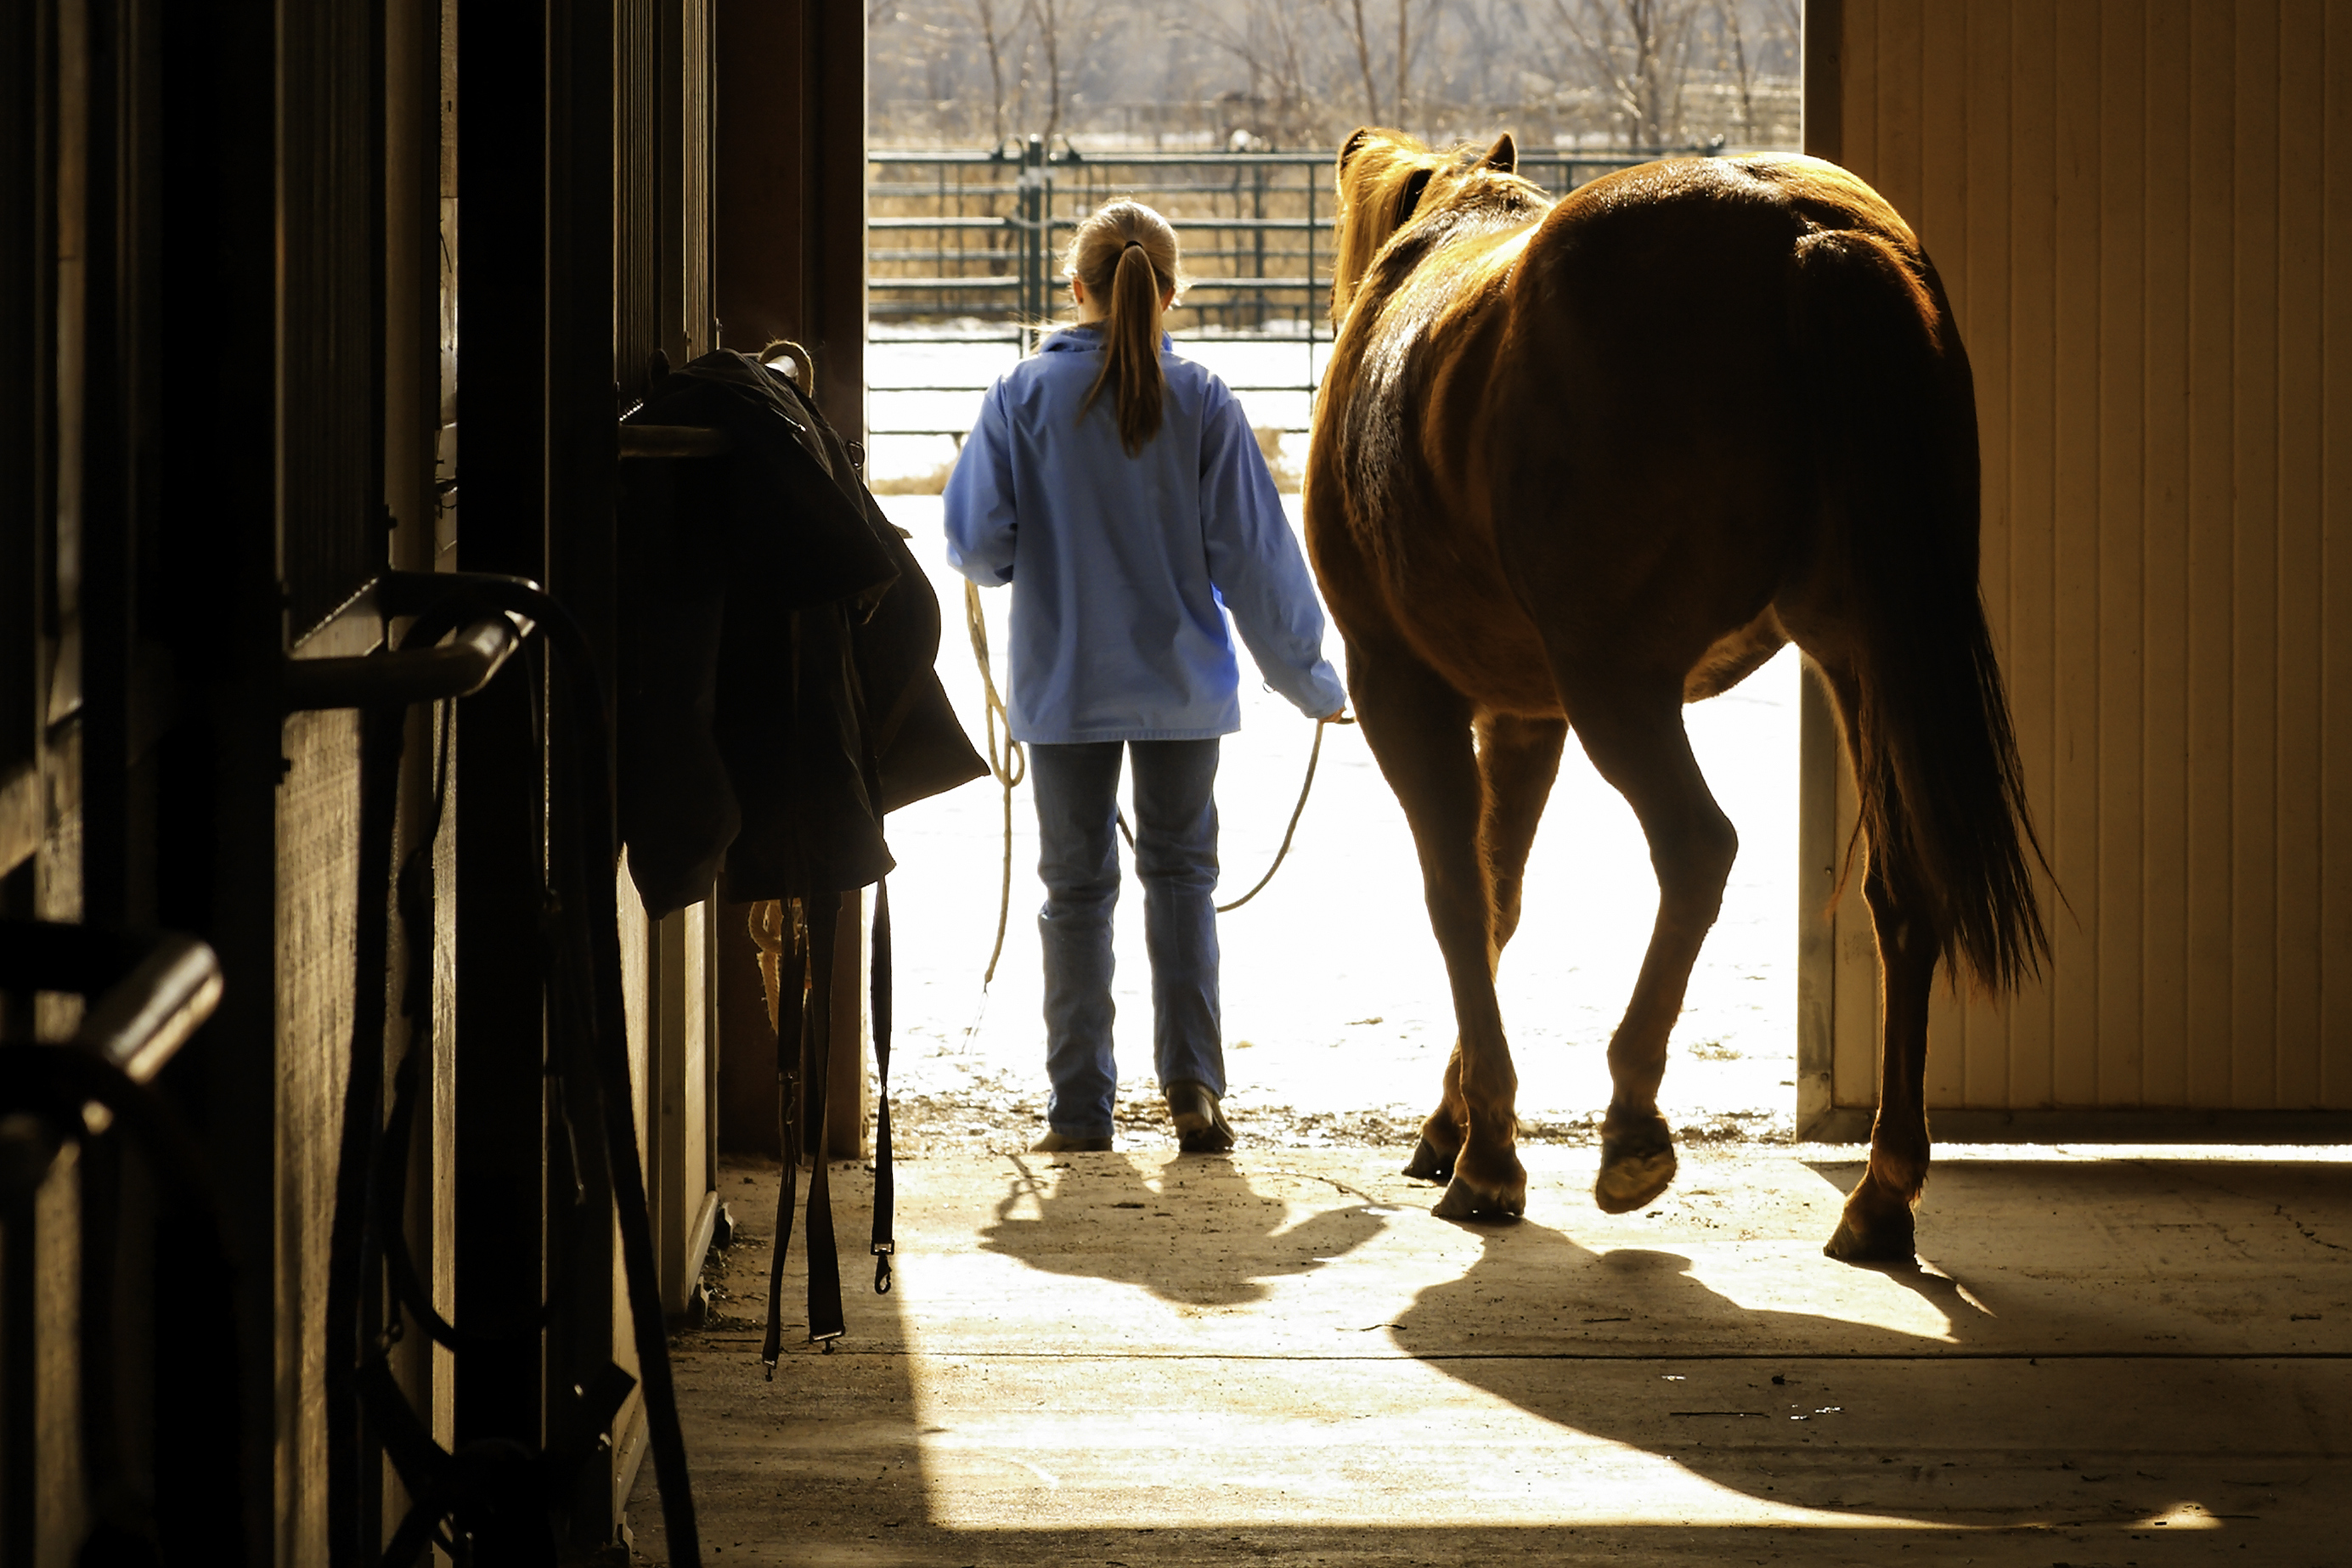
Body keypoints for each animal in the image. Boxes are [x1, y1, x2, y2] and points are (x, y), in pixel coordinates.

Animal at [1317, 128, 2050, 1269]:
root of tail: (1800, 233)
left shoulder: (1405, 692)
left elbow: (1458, 902)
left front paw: (1487, 1157)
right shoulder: (1526, 717)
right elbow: (1499, 898)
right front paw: (1457, 1125)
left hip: (1624, 690)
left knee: (1699, 847)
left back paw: (1632, 1127)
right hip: (1861, 657)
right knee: (1903, 892)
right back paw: (1880, 1195)